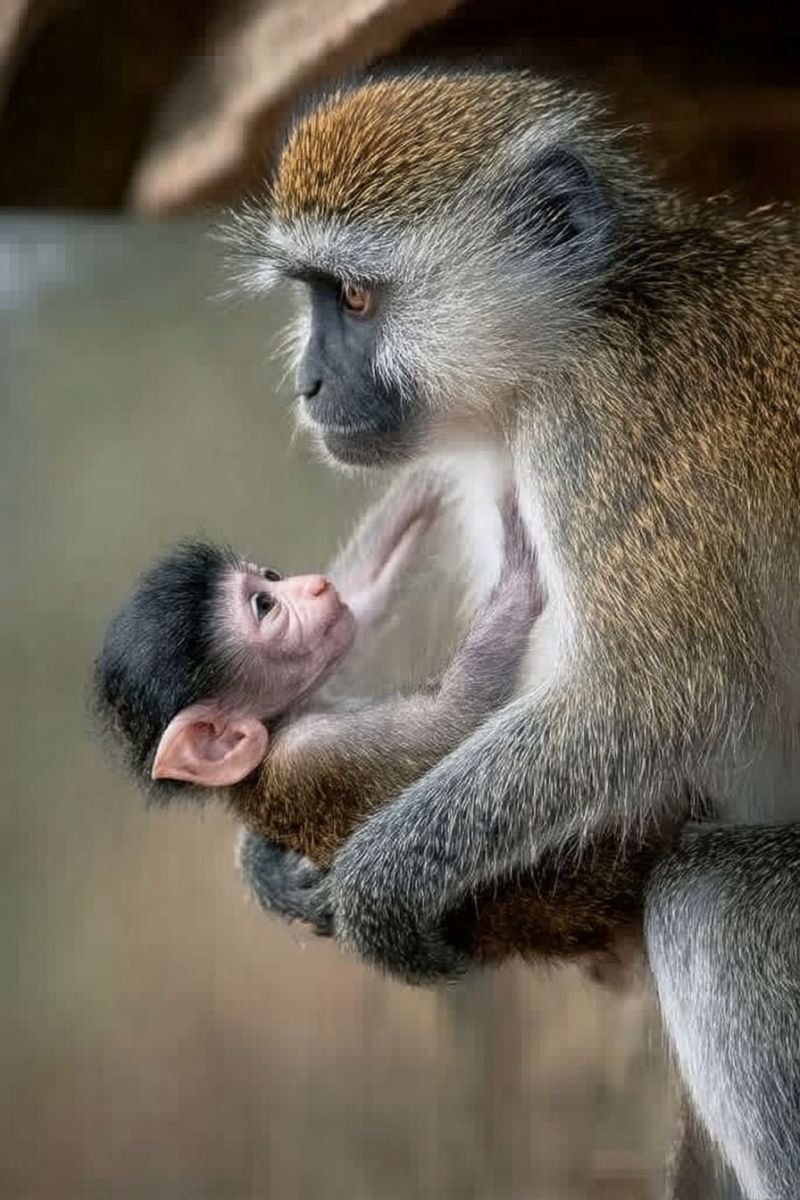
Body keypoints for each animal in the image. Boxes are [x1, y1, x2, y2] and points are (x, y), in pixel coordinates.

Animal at [223, 65, 800, 1197]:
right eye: (313, 295)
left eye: (357, 299)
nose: (309, 383)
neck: (576, 333)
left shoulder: (605, 431)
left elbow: (659, 688)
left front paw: (381, 880)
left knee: (709, 896)